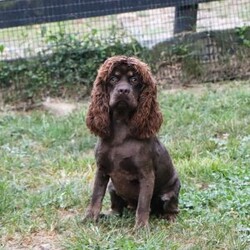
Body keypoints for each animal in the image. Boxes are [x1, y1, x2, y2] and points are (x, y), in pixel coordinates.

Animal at [85, 55, 181, 228]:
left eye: (134, 79)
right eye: (113, 79)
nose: (123, 90)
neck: (121, 126)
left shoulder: (146, 174)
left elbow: (143, 204)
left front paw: (141, 227)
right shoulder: (101, 170)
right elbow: (96, 197)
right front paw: (89, 219)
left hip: (170, 193)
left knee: (171, 208)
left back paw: (170, 218)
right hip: (112, 188)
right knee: (117, 209)